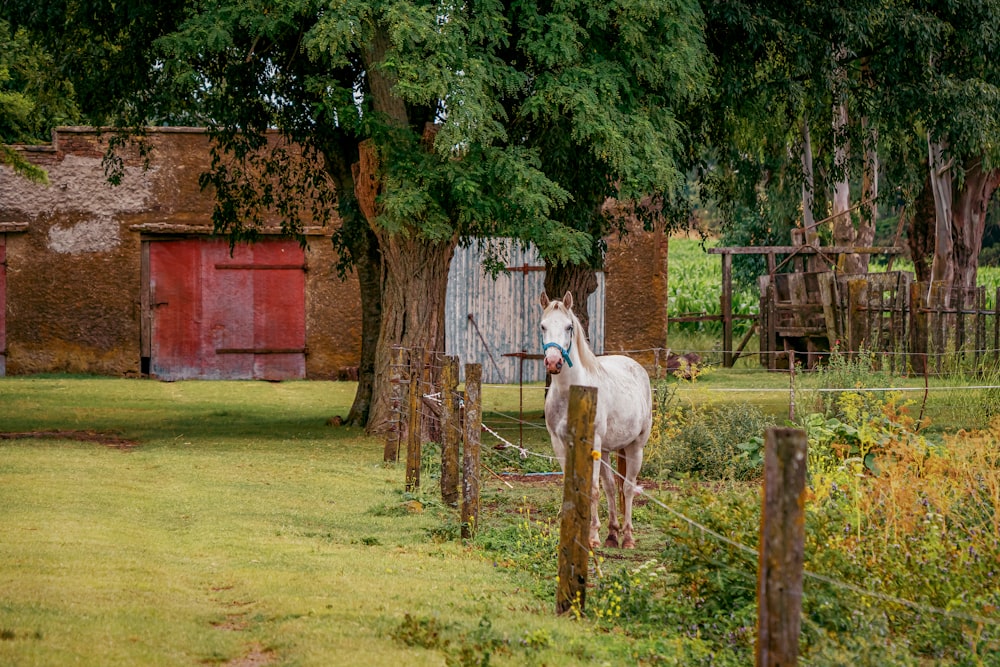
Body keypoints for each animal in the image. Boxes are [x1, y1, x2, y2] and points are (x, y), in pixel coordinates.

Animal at [540, 292, 656, 548]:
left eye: (569, 326)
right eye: (542, 326)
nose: (553, 362)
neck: (572, 393)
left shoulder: (591, 443)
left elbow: (591, 489)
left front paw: (591, 537)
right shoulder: (559, 444)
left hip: (635, 447)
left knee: (628, 488)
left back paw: (628, 537)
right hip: (606, 450)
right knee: (612, 488)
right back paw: (612, 534)